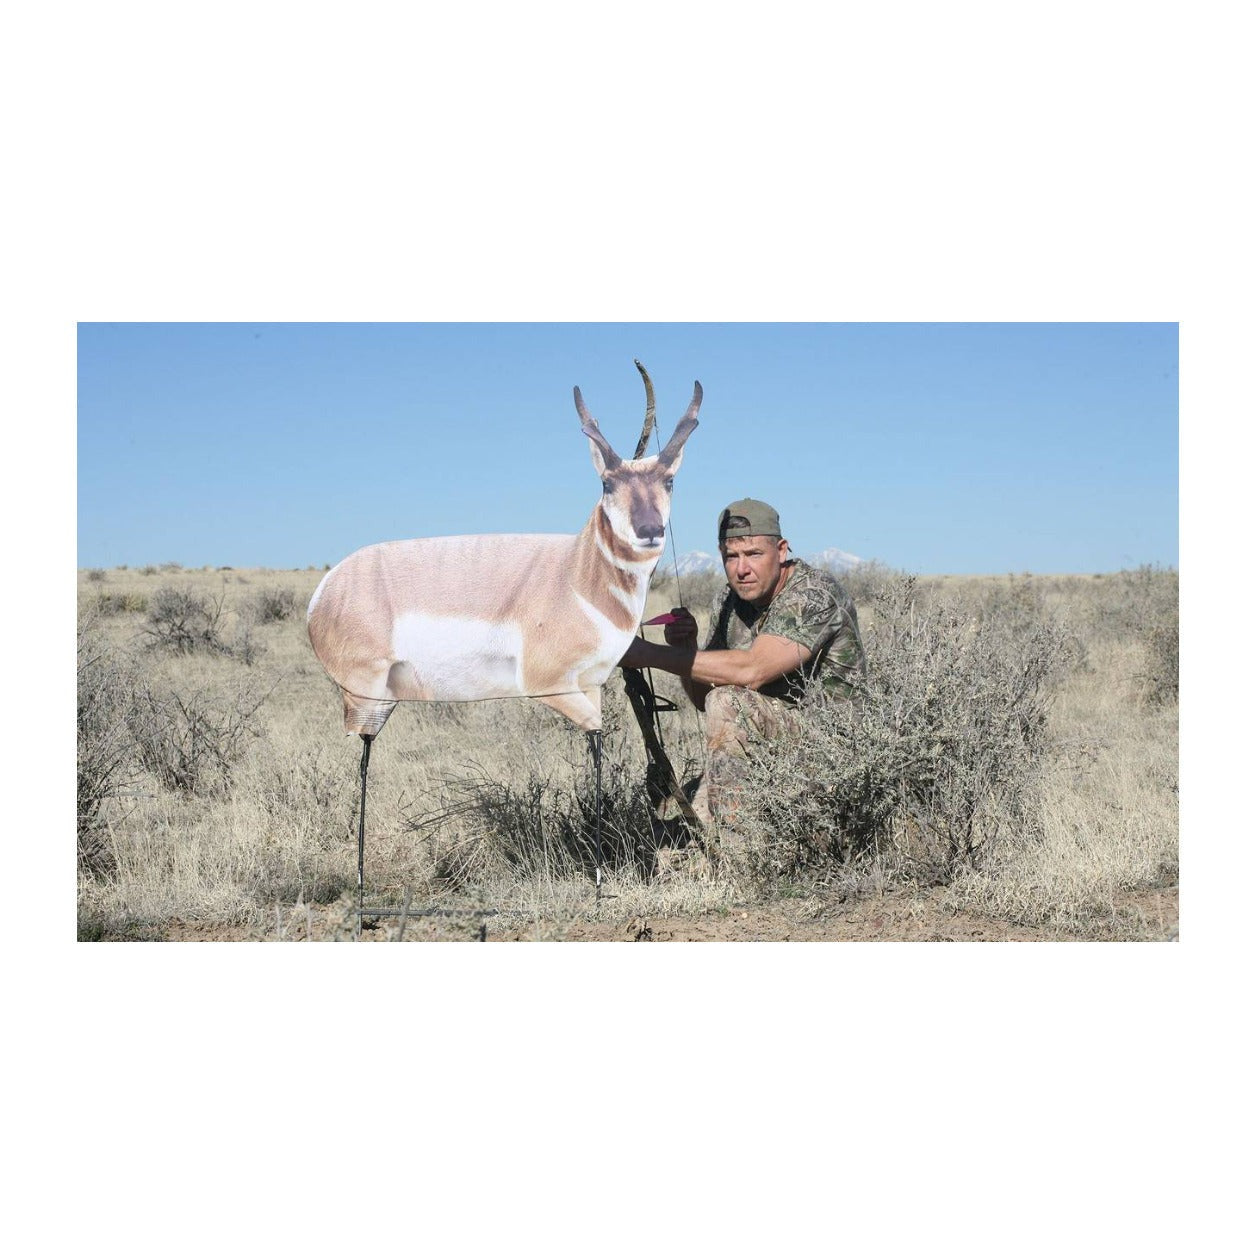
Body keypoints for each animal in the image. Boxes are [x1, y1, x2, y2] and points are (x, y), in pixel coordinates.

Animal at [307, 362, 702, 915]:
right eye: (606, 481)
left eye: (669, 478)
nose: (649, 530)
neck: (575, 573)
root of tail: (324, 589)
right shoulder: (555, 687)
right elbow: (597, 746)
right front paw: (599, 882)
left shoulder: (593, 687)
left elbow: (598, 747)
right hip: (369, 699)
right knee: (363, 755)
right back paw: (363, 893)